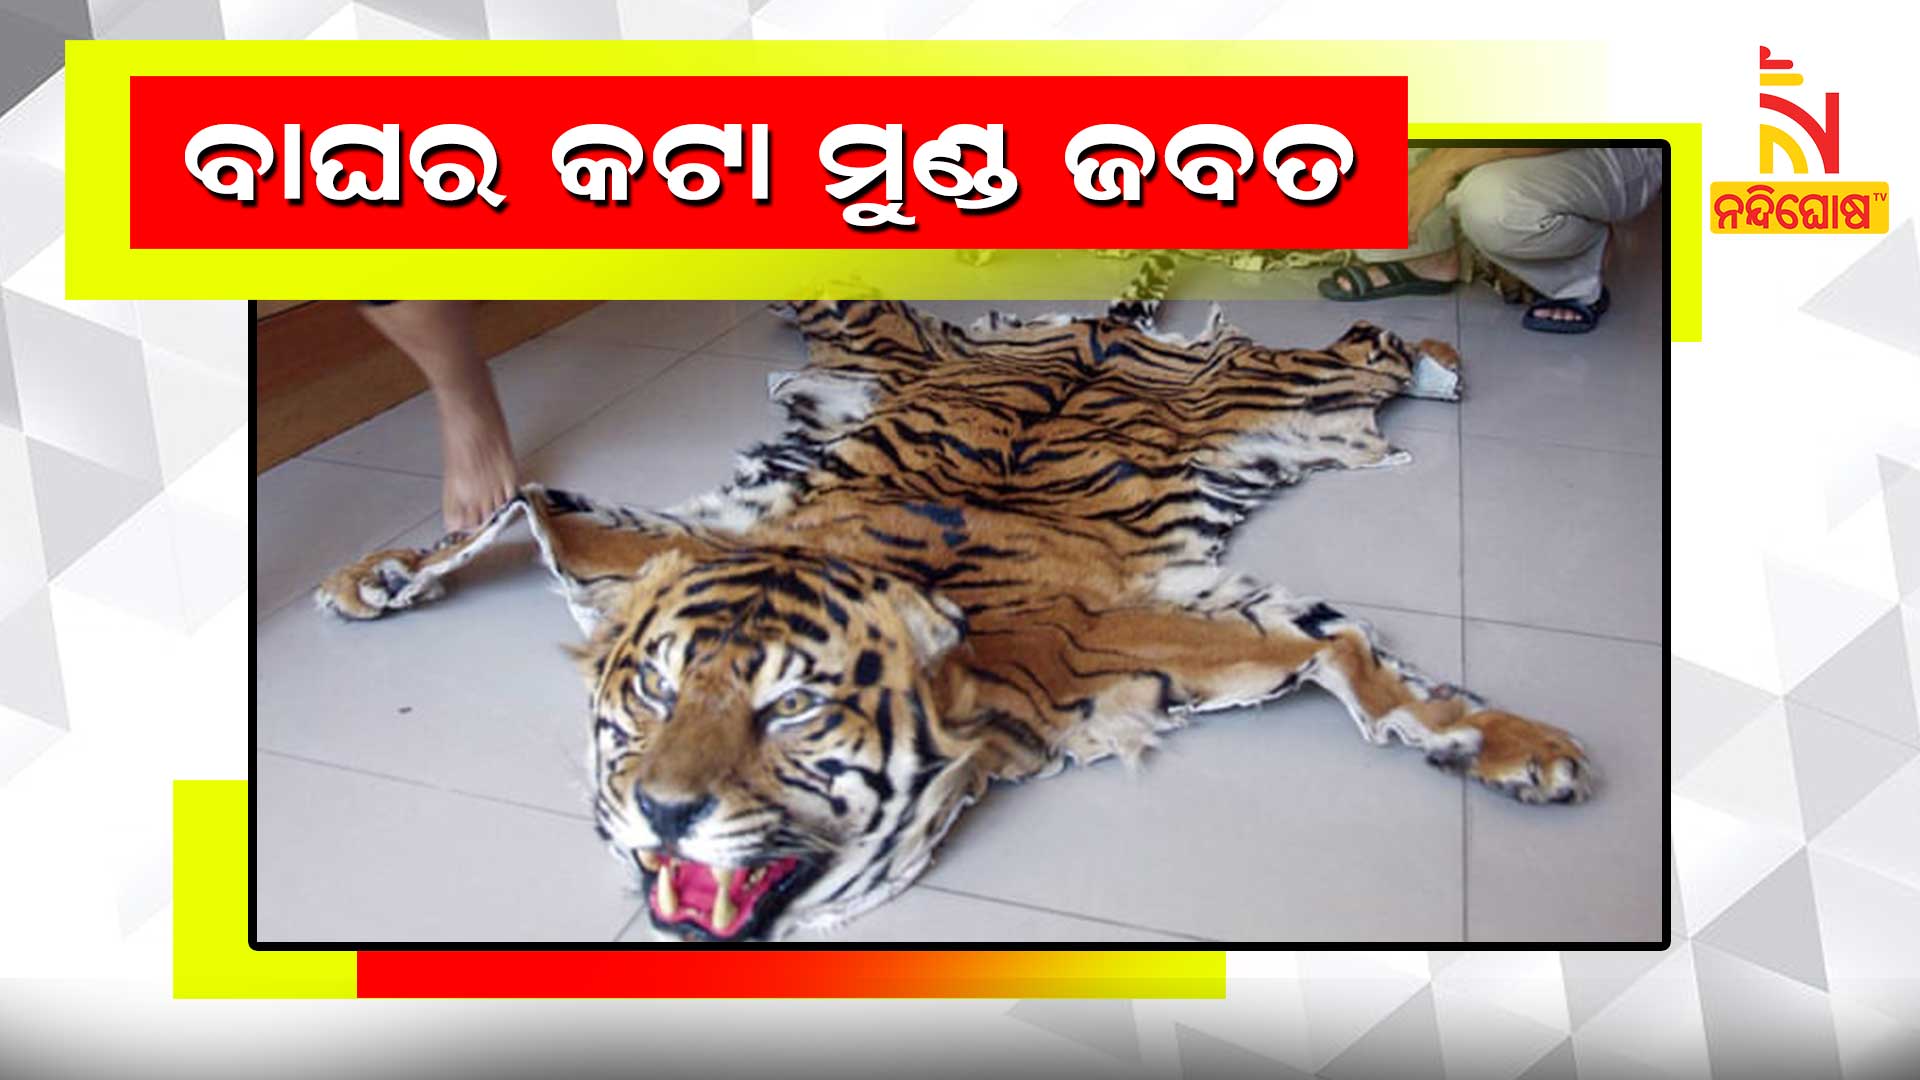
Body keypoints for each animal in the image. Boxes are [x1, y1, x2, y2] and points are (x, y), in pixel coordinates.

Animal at [315, 299, 1593, 942]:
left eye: (794, 713)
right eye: (654, 693)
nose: (663, 814)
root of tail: (1101, 325)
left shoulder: (1177, 639)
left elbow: (1351, 652)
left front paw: (1524, 751)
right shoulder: (660, 545)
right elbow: (523, 500)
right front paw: (381, 575)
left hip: (1274, 386)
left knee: (1366, 348)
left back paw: (1442, 357)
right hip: (886, 346)